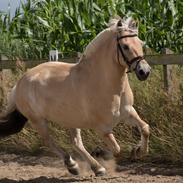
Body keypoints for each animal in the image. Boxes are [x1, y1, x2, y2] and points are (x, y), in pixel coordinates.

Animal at [0, 17, 151, 176]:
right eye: (125, 46)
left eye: (141, 43)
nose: (144, 71)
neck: (104, 82)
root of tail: (20, 83)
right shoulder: (102, 127)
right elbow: (117, 149)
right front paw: (101, 152)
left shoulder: (127, 112)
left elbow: (145, 128)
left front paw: (138, 151)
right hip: (38, 121)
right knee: (49, 141)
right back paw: (73, 165)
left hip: (71, 120)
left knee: (76, 143)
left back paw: (97, 168)